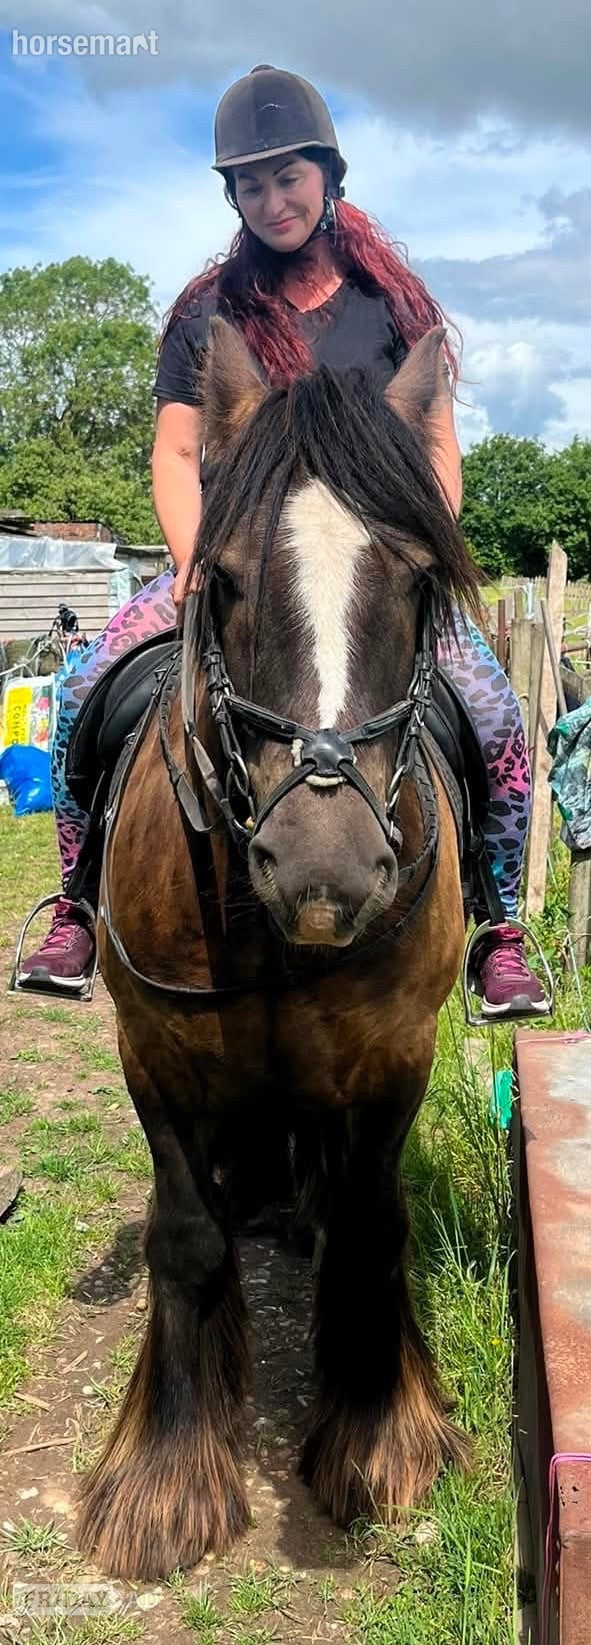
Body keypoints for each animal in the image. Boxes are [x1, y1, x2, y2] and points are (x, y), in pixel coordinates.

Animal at [76, 319, 481, 1581]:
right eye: (230, 577)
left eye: (417, 579)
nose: (325, 871)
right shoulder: (154, 1050)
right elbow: (187, 1237)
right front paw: (166, 1481)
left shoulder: (392, 1052)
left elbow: (372, 1222)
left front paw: (379, 1437)